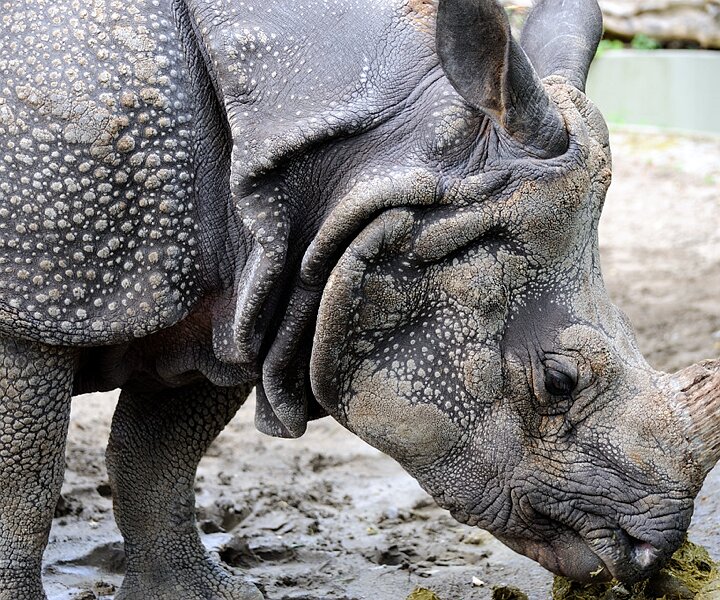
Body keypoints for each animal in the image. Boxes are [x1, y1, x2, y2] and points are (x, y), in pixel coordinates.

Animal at [0, 0, 718, 597]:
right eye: (559, 382)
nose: (652, 550)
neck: (381, 161)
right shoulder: (29, 314)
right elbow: (25, 483)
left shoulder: (244, 296)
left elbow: (158, 457)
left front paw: (197, 594)